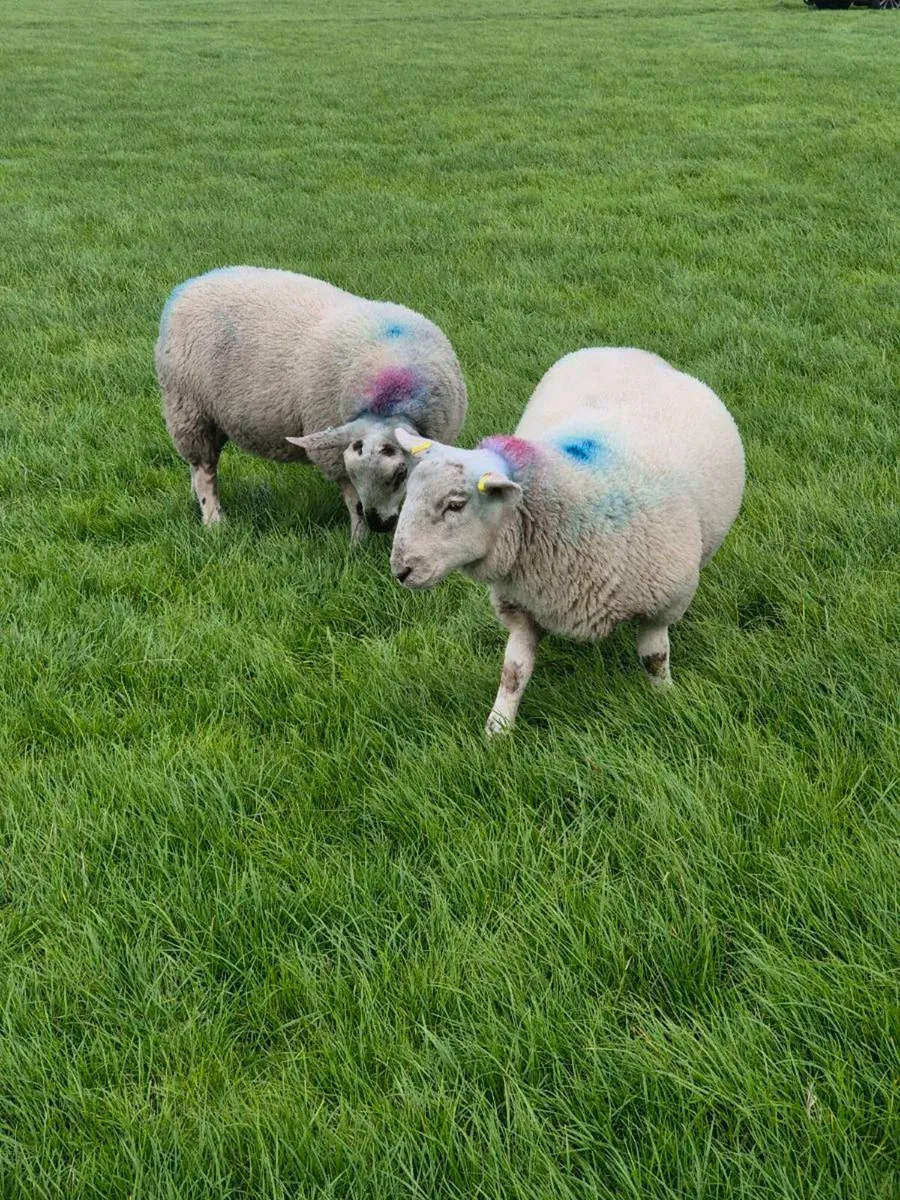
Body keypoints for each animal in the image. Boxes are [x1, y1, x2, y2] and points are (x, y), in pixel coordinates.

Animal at [154, 266, 467, 541]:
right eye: (354, 473)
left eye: (400, 473)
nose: (379, 524)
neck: (386, 400)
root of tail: (189, 285)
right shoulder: (336, 458)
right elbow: (355, 504)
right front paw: (358, 545)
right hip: (189, 409)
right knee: (205, 470)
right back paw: (213, 522)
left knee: (197, 466)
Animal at [389, 347, 745, 735]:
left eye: (455, 504)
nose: (400, 571)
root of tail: (626, 350)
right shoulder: (522, 607)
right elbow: (513, 672)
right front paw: (497, 730)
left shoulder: (661, 606)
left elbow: (654, 659)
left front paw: (666, 698)